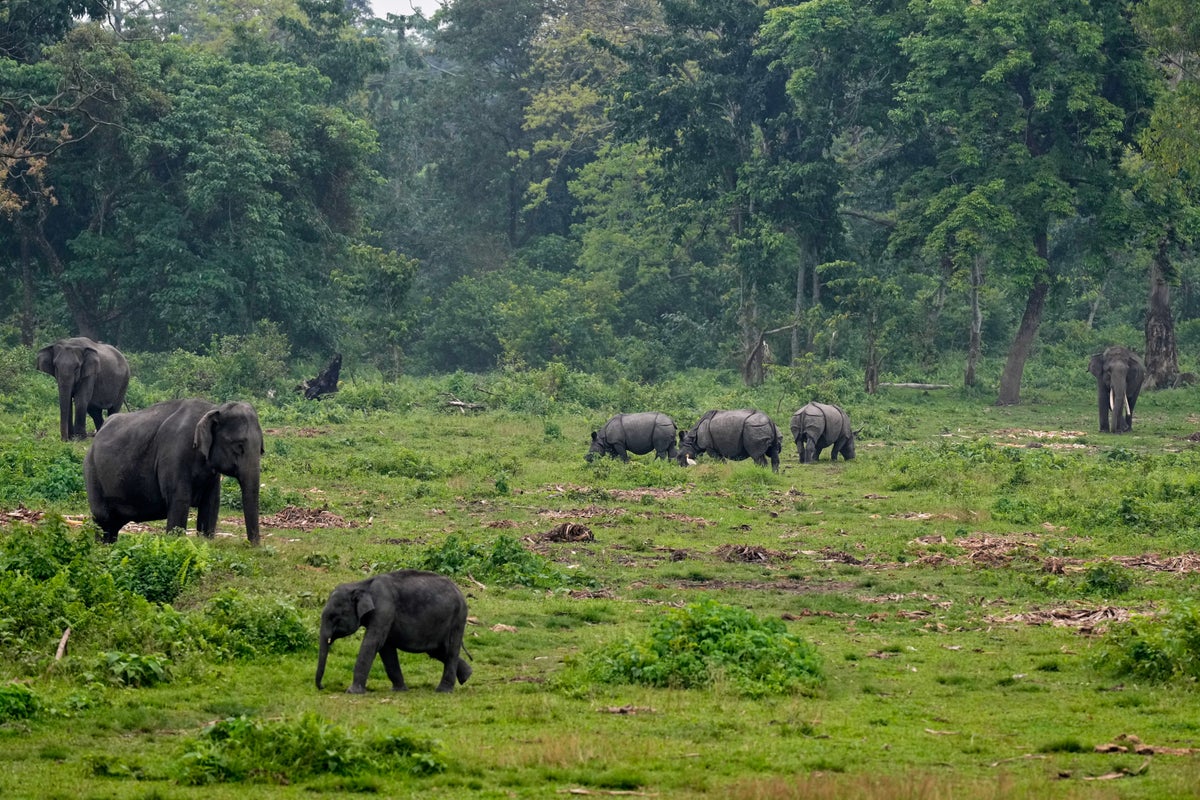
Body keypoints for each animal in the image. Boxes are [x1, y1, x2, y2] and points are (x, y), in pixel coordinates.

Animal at [84, 398, 264, 544]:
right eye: (239, 446)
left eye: (261, 449)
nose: (252, 546)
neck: (213, 408)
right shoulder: (174, 454)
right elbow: (179, 500)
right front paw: (177, 542)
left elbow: (211, 503)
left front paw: (205, 542)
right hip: (92, 472)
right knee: (103, 518)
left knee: (113, 524)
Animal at [316, 570, 472, 694]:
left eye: (334, 617)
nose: (323, 687)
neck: (361, 585)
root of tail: (460, 591)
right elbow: (386, 648)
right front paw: (399, 690)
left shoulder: (384, 609)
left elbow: (372, 643)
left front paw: (352, 692)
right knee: (437, 650)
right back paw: (467, 675)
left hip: (458, 618)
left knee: (450, 650)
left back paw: (443, 691)